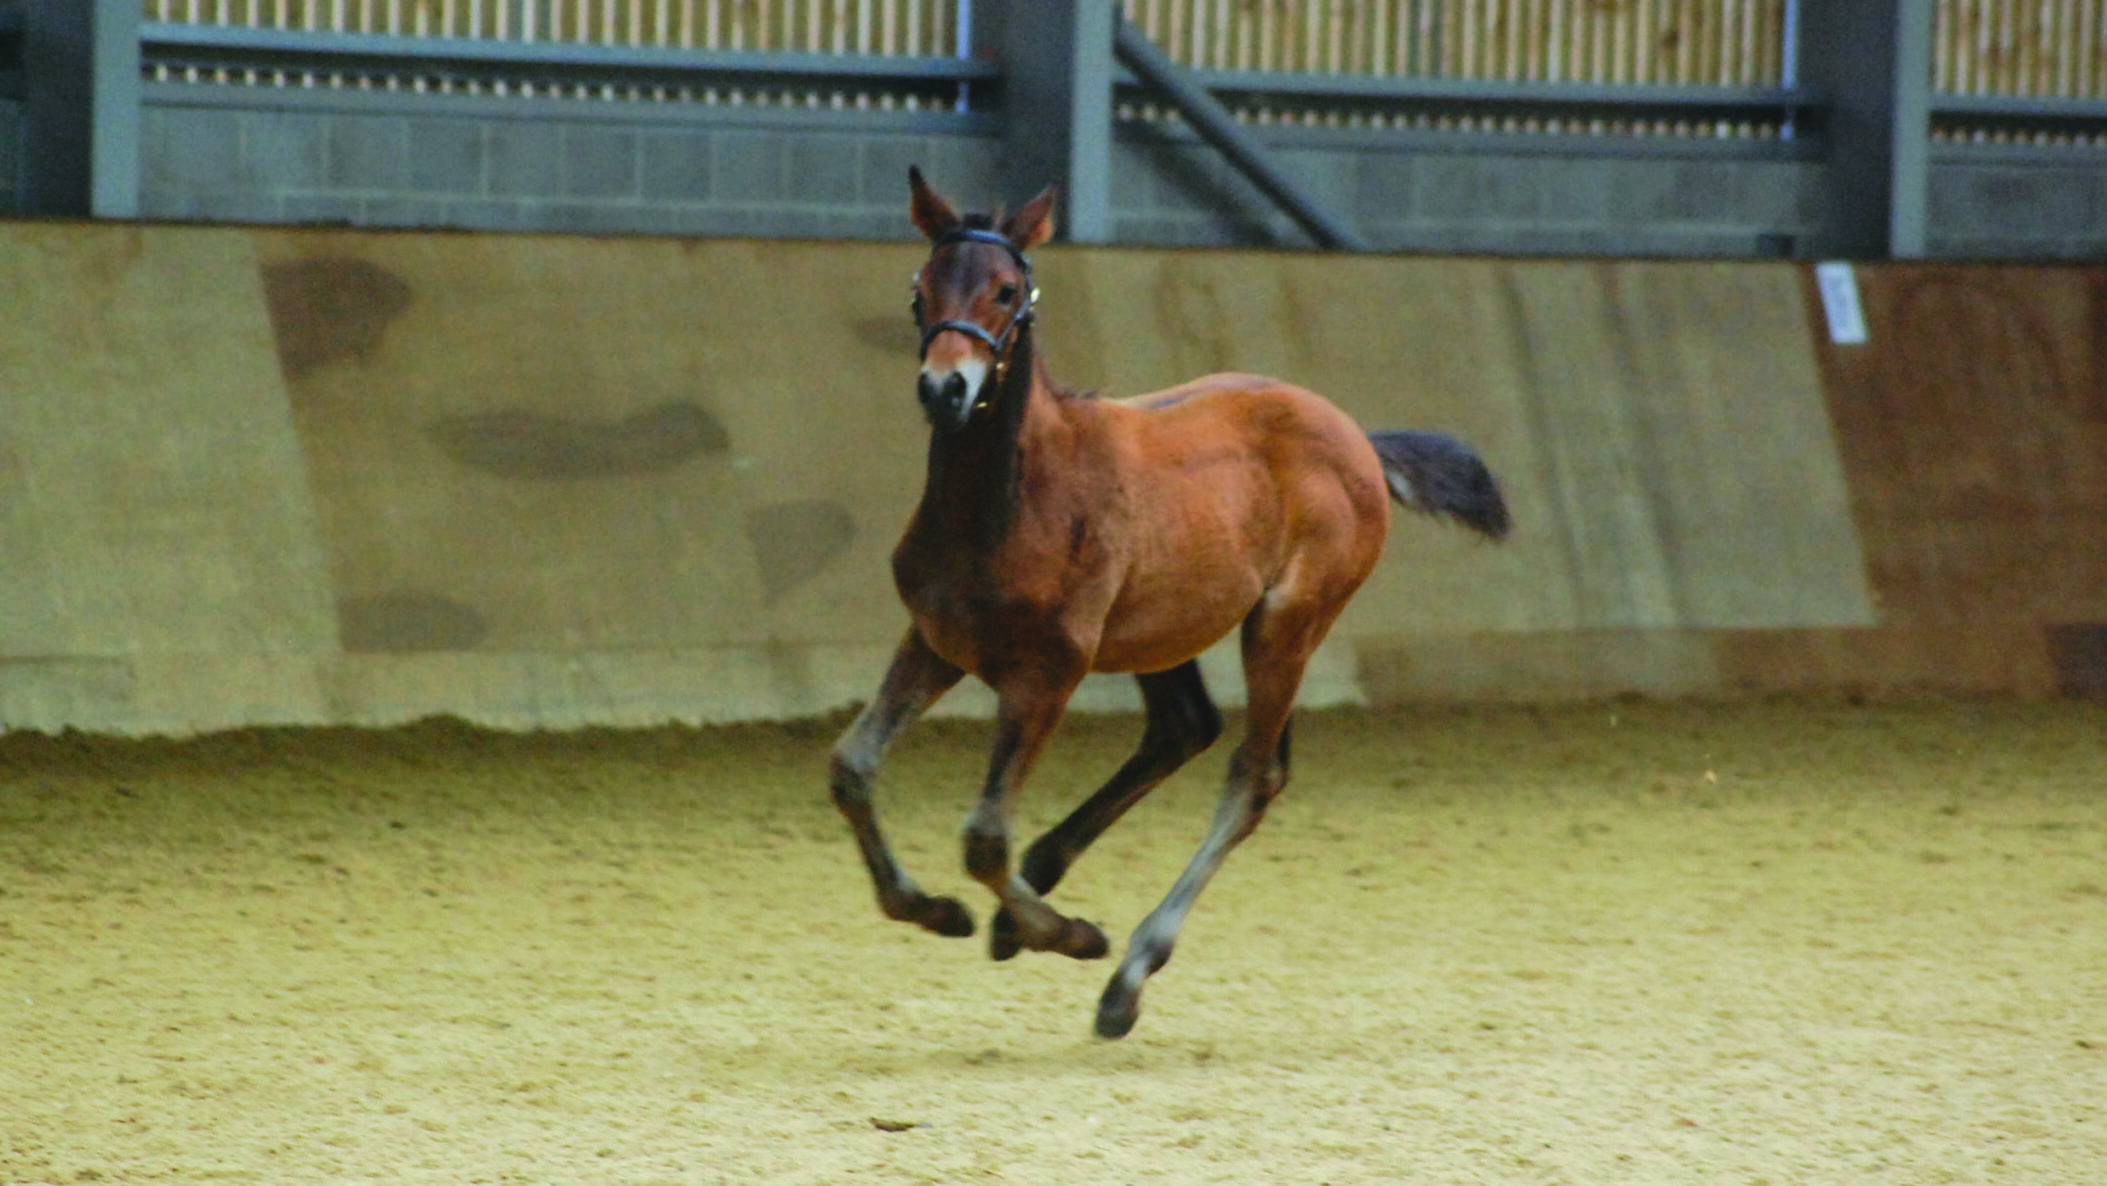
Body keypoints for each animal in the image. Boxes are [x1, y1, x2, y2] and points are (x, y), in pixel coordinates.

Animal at [828, 167, 1510, 1039]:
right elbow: (851, 768)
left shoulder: (1047, 672)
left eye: (1007, 290)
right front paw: (939, 911)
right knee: (1185, 728)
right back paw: (1036, 894)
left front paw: (1072, 936)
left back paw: (1124, 975)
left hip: (1286, 625)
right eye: (920, 288)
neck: (1007, 497)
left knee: (1252, 774)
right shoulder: (935, 640)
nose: (945, 389)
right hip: (1163, 632)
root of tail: (1355, 434)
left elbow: (983, 837)